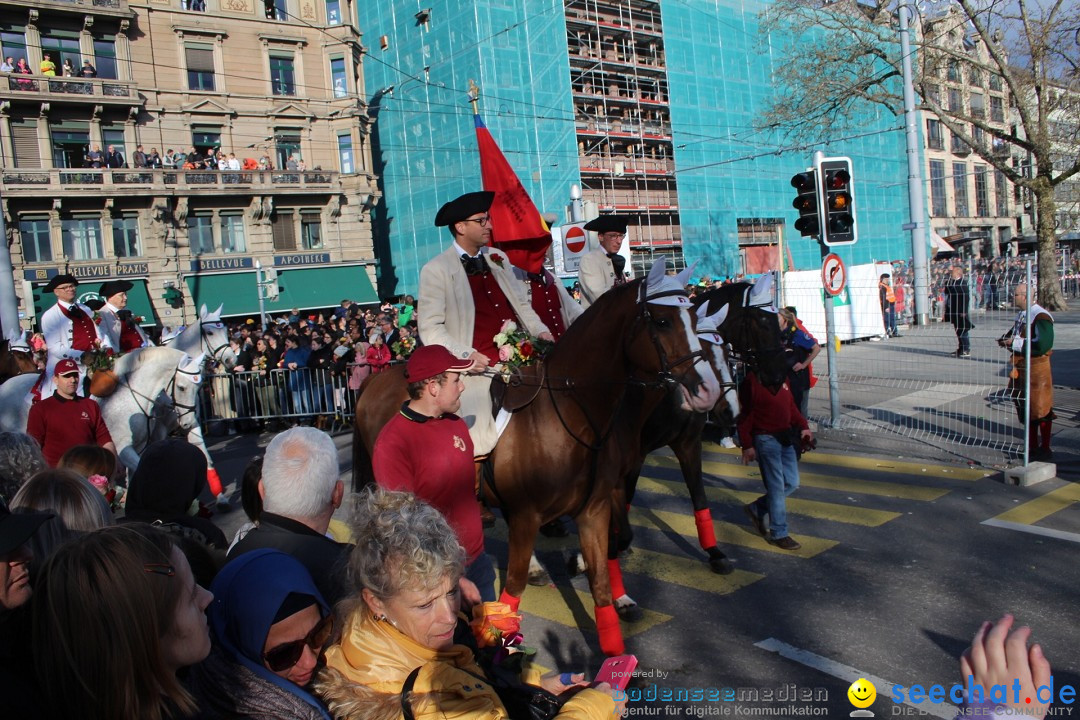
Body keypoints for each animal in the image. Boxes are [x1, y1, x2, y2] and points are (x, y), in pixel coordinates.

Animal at [352, 262, 717, 656]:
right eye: (662, 321)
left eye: (693, 318)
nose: (709, 390)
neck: (565, 412)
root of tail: (377, 380)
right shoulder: (528, 514)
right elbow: (513, 587)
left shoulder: (595, 508)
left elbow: (604, 573)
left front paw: (615, 651)